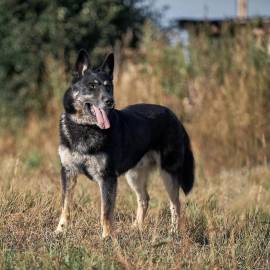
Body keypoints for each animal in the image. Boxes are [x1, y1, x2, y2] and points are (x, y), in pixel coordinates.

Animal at [55, 49, 194, 237]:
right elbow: (65, 205)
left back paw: (173, 233)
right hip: (134, 175)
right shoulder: (68, 172)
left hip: (168, 173)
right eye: (92, 86)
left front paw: (107, 237)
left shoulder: (107, 178)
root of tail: (175, 117)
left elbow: (105, 212)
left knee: (175, 204)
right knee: (144, 199)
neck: (86, 127)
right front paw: (60, 230)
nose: (110, 102)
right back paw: (136, 228)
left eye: (108, 87)